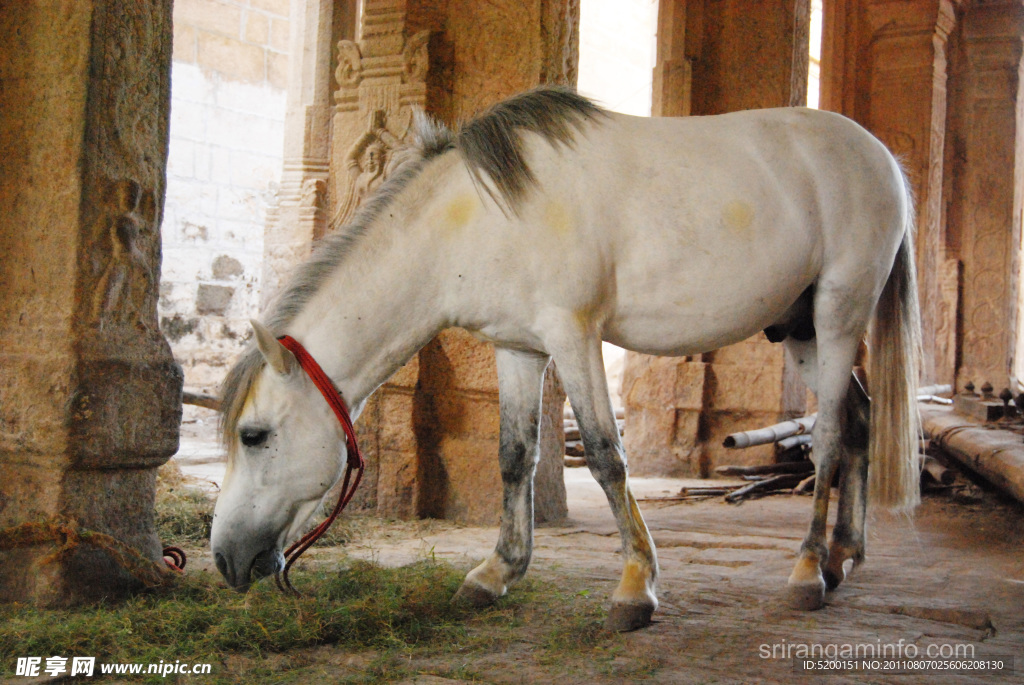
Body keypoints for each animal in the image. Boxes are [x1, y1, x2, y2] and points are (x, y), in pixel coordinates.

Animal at [207, 88, 921, 634]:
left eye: (254, 435)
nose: (223, 559)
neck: (476, 217)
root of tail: (880, 156)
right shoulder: (519, 348)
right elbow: (514, 456)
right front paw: (495, 573)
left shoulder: (574, 336)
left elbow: (606, 456)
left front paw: (635, 588)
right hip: (801, 330)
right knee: (859, 420)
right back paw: (842, 556)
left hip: (837, 316)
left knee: (829, 437)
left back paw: (807, 571)